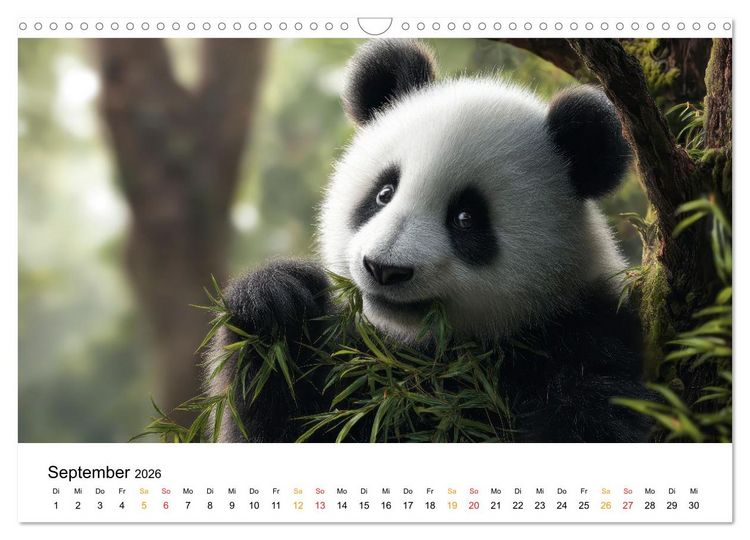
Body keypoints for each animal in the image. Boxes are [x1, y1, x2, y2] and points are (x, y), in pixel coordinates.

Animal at [206, 39, 650, 443]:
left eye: (466, 218)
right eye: (384, 193)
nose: (384, 269)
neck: (421, 355)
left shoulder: (583, 338)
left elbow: (590, 418)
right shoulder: (358, 358)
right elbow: (288, 424)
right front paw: (275, 299)